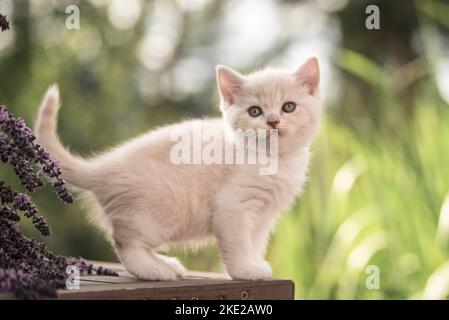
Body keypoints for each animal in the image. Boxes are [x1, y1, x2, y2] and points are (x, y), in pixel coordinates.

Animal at [35, 57, 322, 280]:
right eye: (255, 111)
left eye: (288, 107)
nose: (273, 121)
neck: (275, 161)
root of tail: (105, 167)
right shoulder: (232, 208)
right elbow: (239, 244)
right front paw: (244, 270)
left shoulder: (264, 216)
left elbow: (255, 243)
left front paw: (255, 263)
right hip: (157, 215)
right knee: (124, 240)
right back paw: (153, 270)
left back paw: (166, 264)